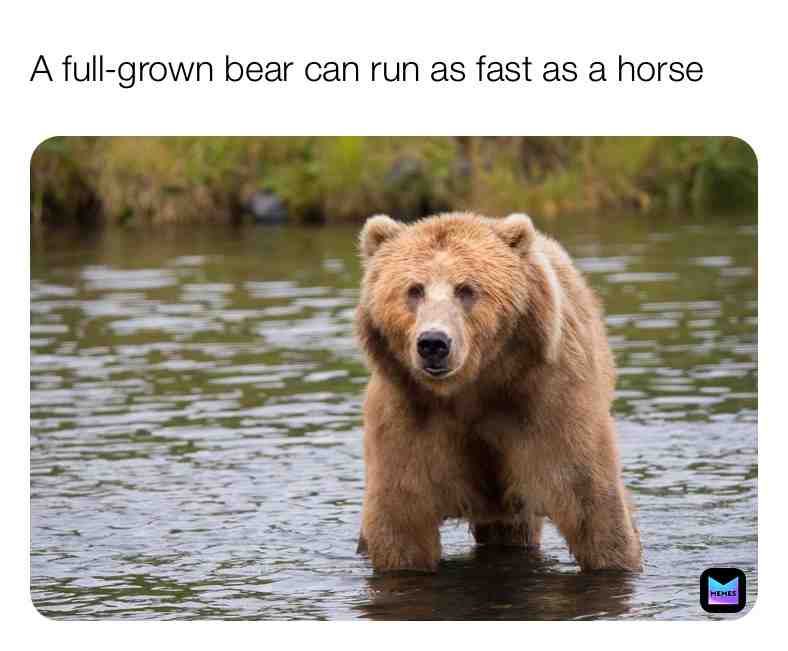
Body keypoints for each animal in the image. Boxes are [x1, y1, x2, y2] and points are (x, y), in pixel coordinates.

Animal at [354, 211, 642, 573]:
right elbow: (402, 519)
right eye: (414, 290)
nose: (433, 343)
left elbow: (591, 505)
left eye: (466, 289)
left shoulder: (549, 404)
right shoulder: (409, 416)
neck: (474, 387)